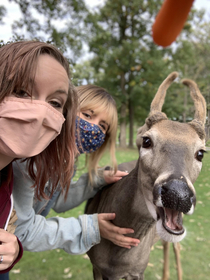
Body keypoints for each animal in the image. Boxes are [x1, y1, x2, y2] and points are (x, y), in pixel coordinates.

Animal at [84, 72, 206, 280]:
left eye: (201, 153)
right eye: (147, 141)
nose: (178, 194)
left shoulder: (138, 270)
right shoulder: (96, 266)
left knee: (175, 245)